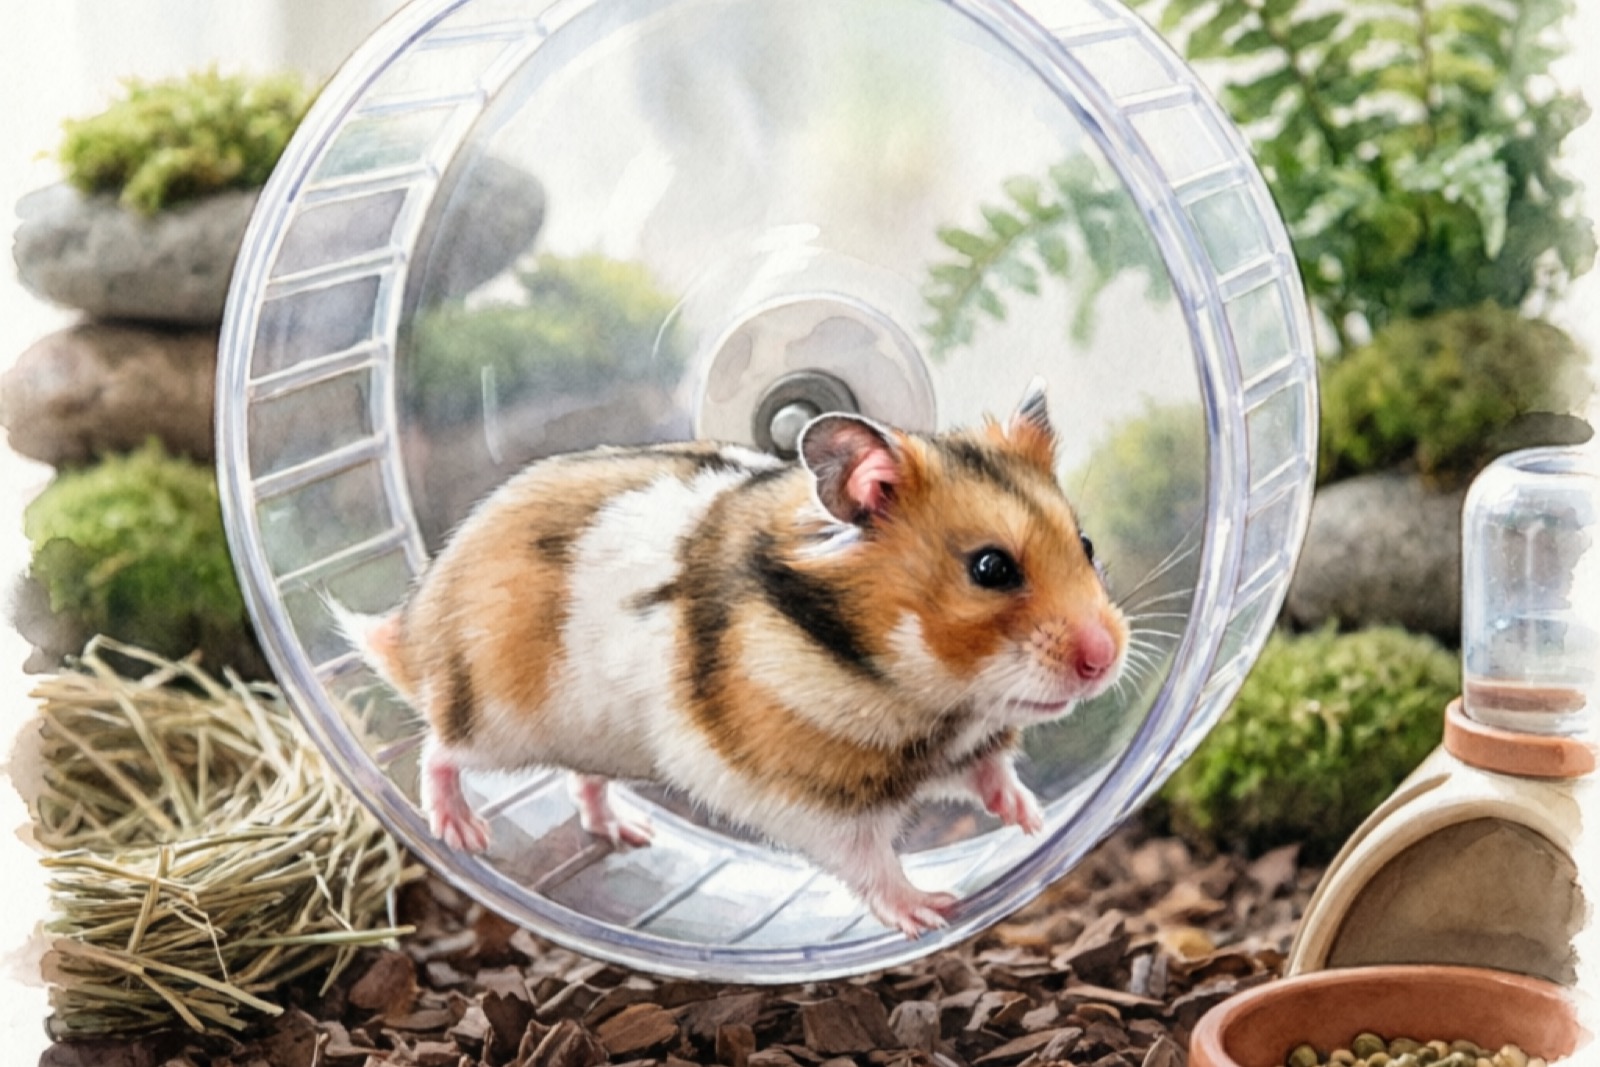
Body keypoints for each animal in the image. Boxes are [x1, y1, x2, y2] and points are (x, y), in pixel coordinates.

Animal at [339, 380, 1127, 937]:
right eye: (991, 567)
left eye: (1087, 545)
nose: (1107, 658)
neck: (921, 695)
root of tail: (419, 623)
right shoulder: (806, 798)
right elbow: (870, 860)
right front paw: (932, 908)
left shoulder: (966, 745)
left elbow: (992, 773)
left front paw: (1034, 823)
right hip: (497, 721)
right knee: (437, 750)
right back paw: (462, 830)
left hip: (590, 741)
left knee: (581, 783)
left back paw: (630, 831)